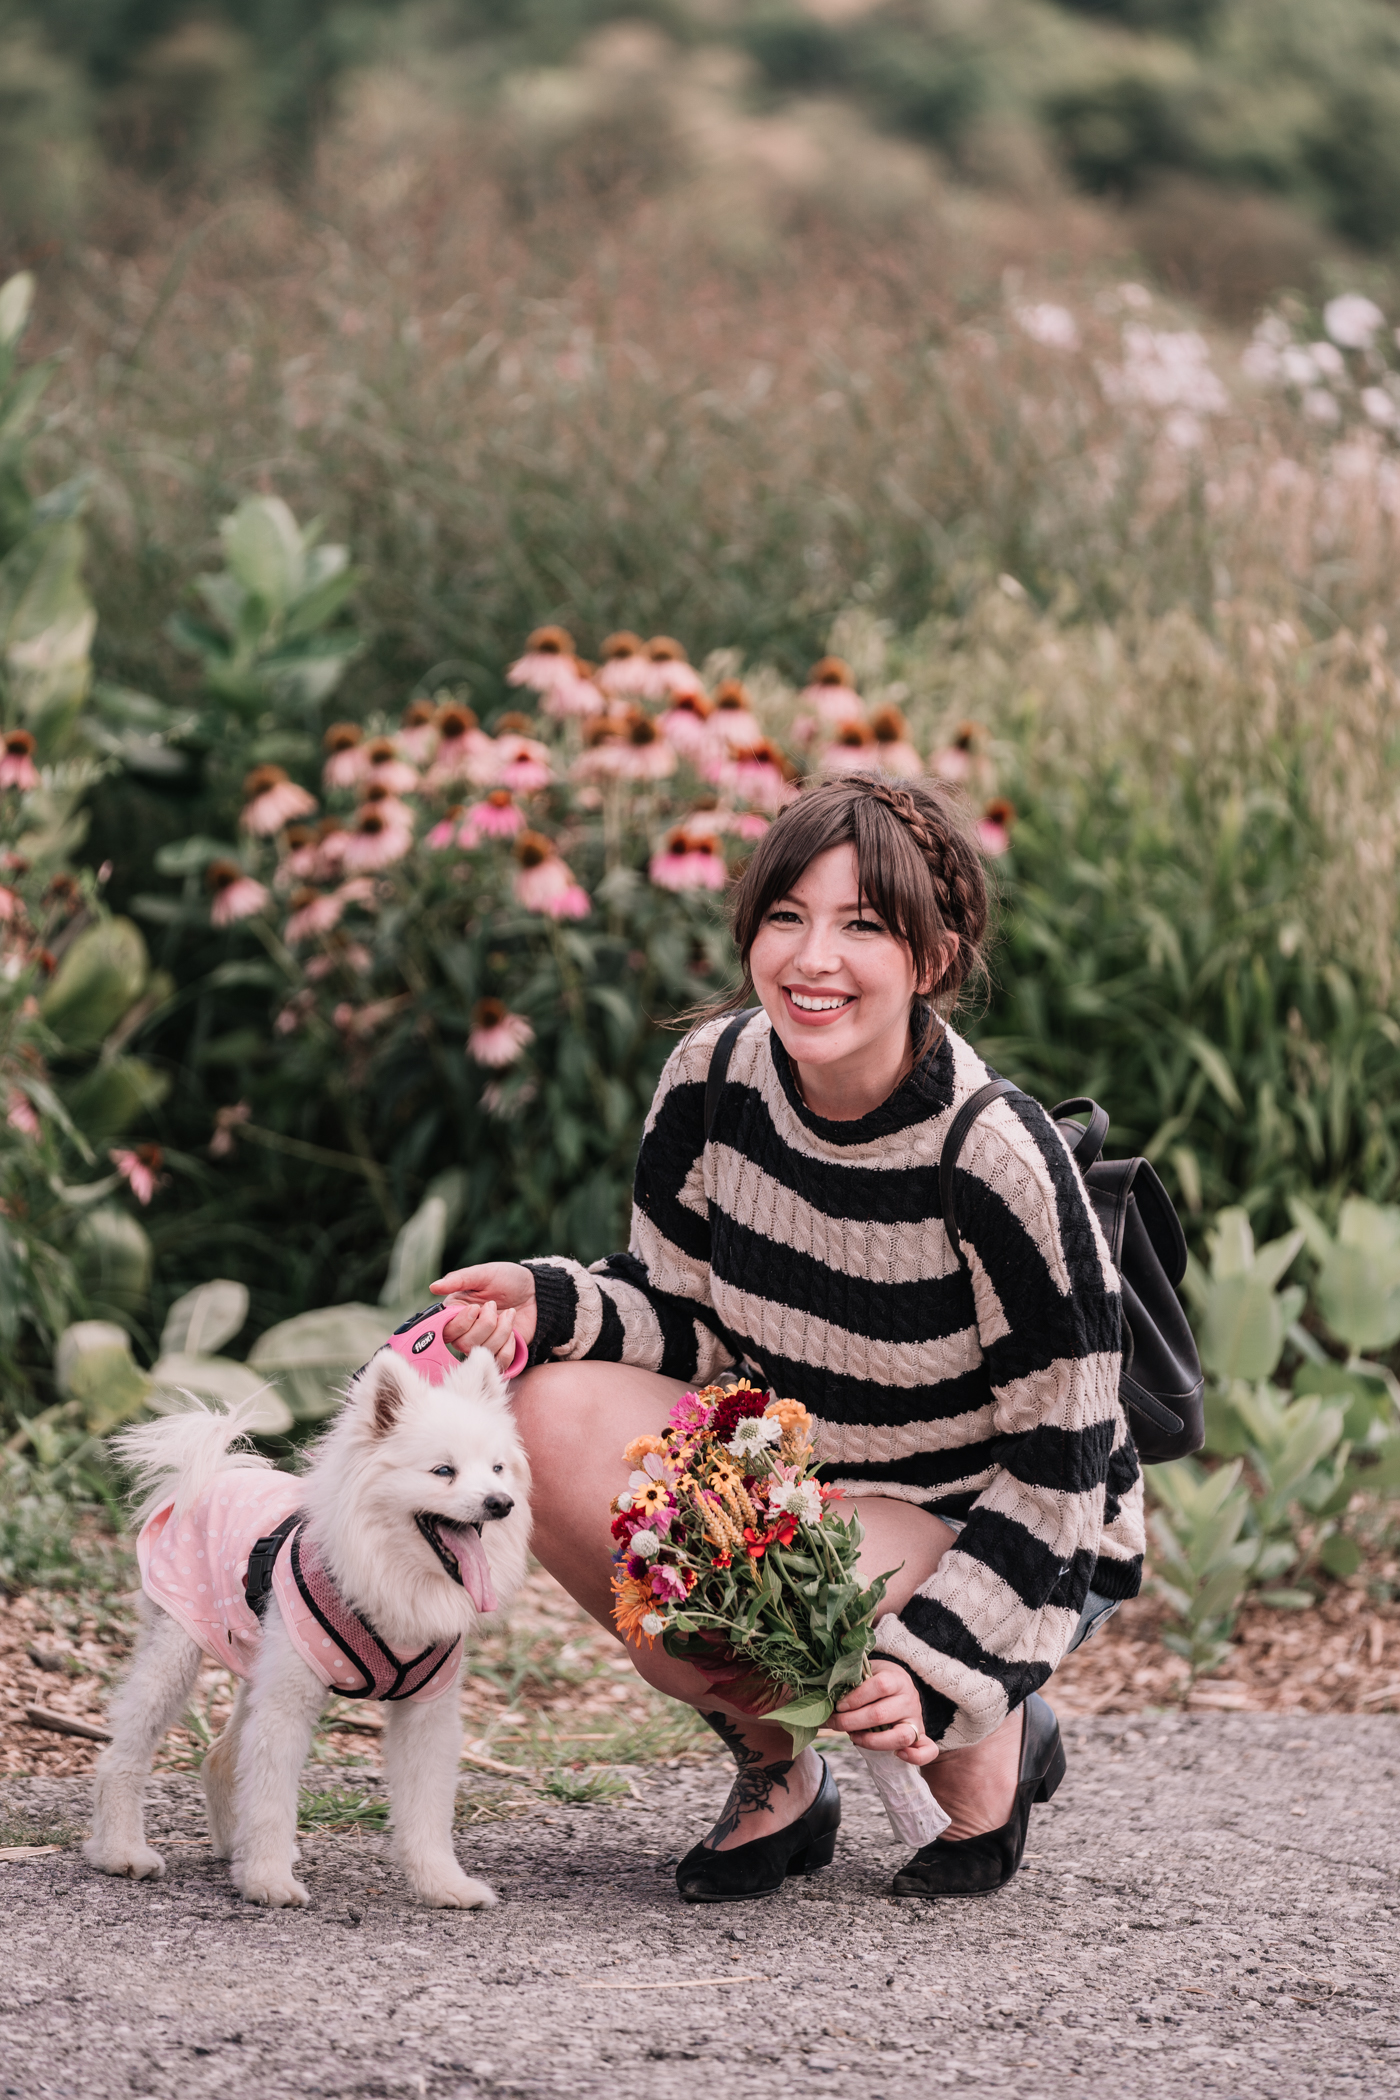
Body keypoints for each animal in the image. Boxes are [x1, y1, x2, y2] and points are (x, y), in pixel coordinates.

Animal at [85, 1344, 531, 1906]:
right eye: (443, 1470)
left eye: (498, 1468)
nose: (501, 1502)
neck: (391, 1575)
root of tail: (214, 1473)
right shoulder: (287, 1705)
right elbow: (272, 1800)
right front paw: (269, 1881)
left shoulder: (427, 1716)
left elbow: (427, 1812)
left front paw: (442, 1884)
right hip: (175, 1656)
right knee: (122, 1756)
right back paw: (121, 1852)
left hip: (258, 1664)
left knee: (219, 1759)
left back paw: (231, 1847)